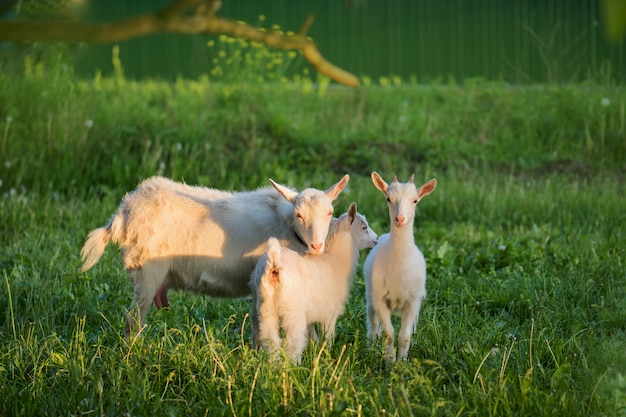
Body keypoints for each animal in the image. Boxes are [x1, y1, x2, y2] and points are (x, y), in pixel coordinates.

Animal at [80, 174, 348, 336]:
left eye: (329, 212)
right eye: (300, 214)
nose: (316, 245)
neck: (286, 224)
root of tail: (124, 211)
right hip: (146, 269)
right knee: (132, 321)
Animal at [249, 201, 376, 360]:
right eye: (364, 227)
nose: (376, 239)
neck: (336, 259)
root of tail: (273, 265)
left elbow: (312, 334)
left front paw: (315, 349)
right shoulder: (330, 312)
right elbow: (327, 336)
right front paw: (327, 354)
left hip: (265, 306)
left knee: (270, 339)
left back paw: (272, 362)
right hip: (293, 309)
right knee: (293, 341)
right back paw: (293, 363)